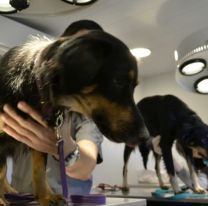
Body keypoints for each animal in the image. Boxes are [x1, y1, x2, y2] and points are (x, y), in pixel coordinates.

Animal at [0, 29, 149, 205]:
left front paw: (46, 196)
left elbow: (39, 169)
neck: (34, 87)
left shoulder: (38, 137)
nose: (145, 136)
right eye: (118, 81)